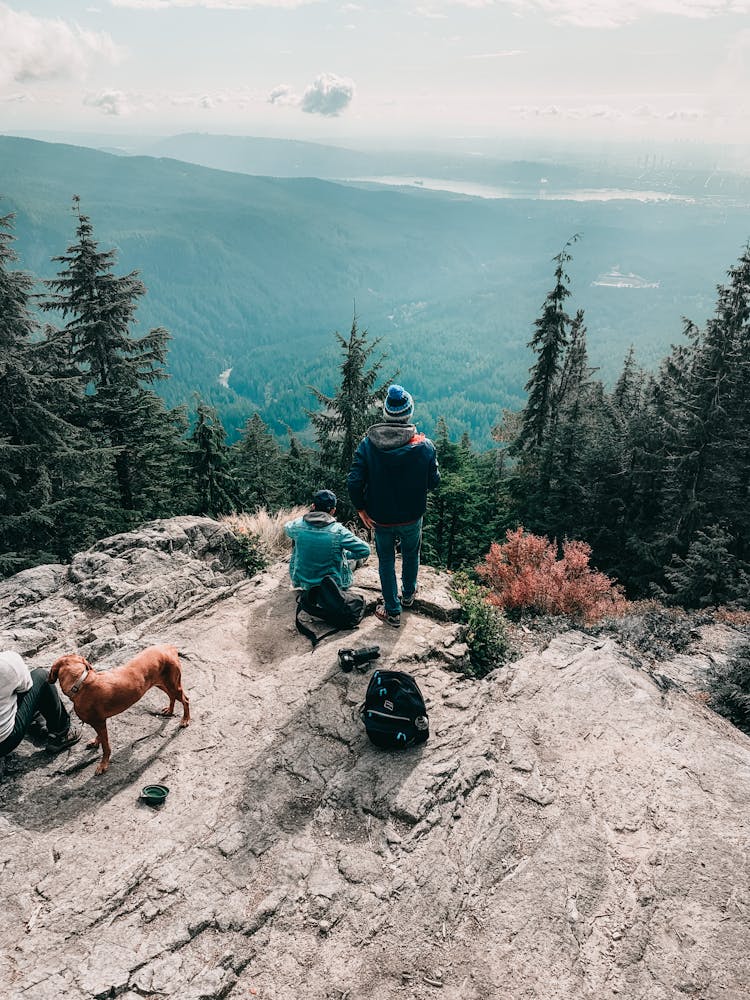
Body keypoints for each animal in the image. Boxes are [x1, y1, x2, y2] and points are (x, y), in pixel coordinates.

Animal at [49, 644, 191, 776]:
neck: (80, 683)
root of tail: (169, 647)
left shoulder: (99, 722)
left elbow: (106, 747)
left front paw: (103, 765)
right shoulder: (100, 722)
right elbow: (100, 737)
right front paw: (95, 742)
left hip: (173, 684)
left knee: (186, 700)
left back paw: (185, 720)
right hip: (161, 683)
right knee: (171, 696)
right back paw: (170, 710)